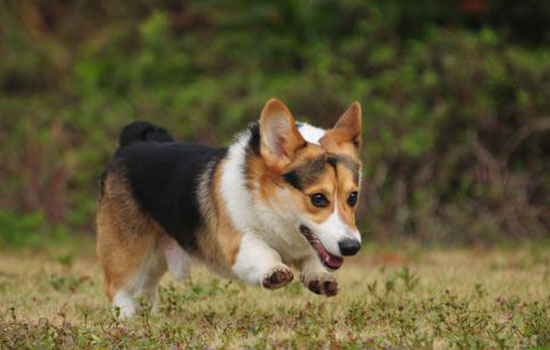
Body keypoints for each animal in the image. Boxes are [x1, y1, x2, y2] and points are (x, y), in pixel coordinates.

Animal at [97, 98, 364, 318]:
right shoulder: (236, 240)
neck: (269, 204)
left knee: (146, 287)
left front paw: (320, 278)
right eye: (318, 198)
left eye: (352, 197)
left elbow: (313, 258)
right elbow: (262, 251)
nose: (352, 247)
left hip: (155, 257)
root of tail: (130, 144)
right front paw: (274, 270)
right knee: (117, 287)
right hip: (128, 250)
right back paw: (128, 316)